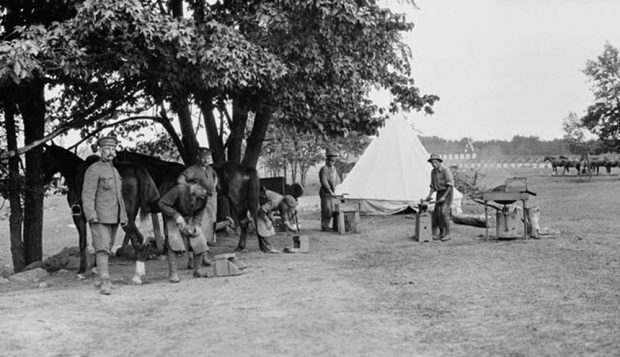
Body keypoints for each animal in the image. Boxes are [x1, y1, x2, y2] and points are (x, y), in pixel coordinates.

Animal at [40, 143, 160, 282]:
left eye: (45, 158)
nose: (42, 178)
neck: (75, 173)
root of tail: (136, 170)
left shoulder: (78, 216)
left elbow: (83, 242)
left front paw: (82, 271)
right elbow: (101, 242)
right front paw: (96, 268)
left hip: (126, 220)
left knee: (137, 239)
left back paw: (138, 274)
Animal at [114, 150, 274, 253]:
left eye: (116, 159)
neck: (163, 174)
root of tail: (245, 168)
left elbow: (168, 230)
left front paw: (168, 250)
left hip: (238, 201)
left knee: (245, 222)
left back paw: (241, 246)